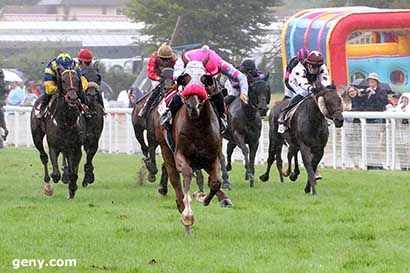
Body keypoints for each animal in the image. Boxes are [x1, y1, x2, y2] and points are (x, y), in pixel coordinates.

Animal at [155, 83, 231, 232]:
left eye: (205, 82)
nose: (193, 107)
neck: (198, 127)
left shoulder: (212, 157)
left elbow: (215, 182)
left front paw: (202, 197)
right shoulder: (180, 155)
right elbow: (187, 174)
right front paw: (187, 214)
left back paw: (223, 199)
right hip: (166, 149)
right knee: (175, 179)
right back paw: (181, 205)